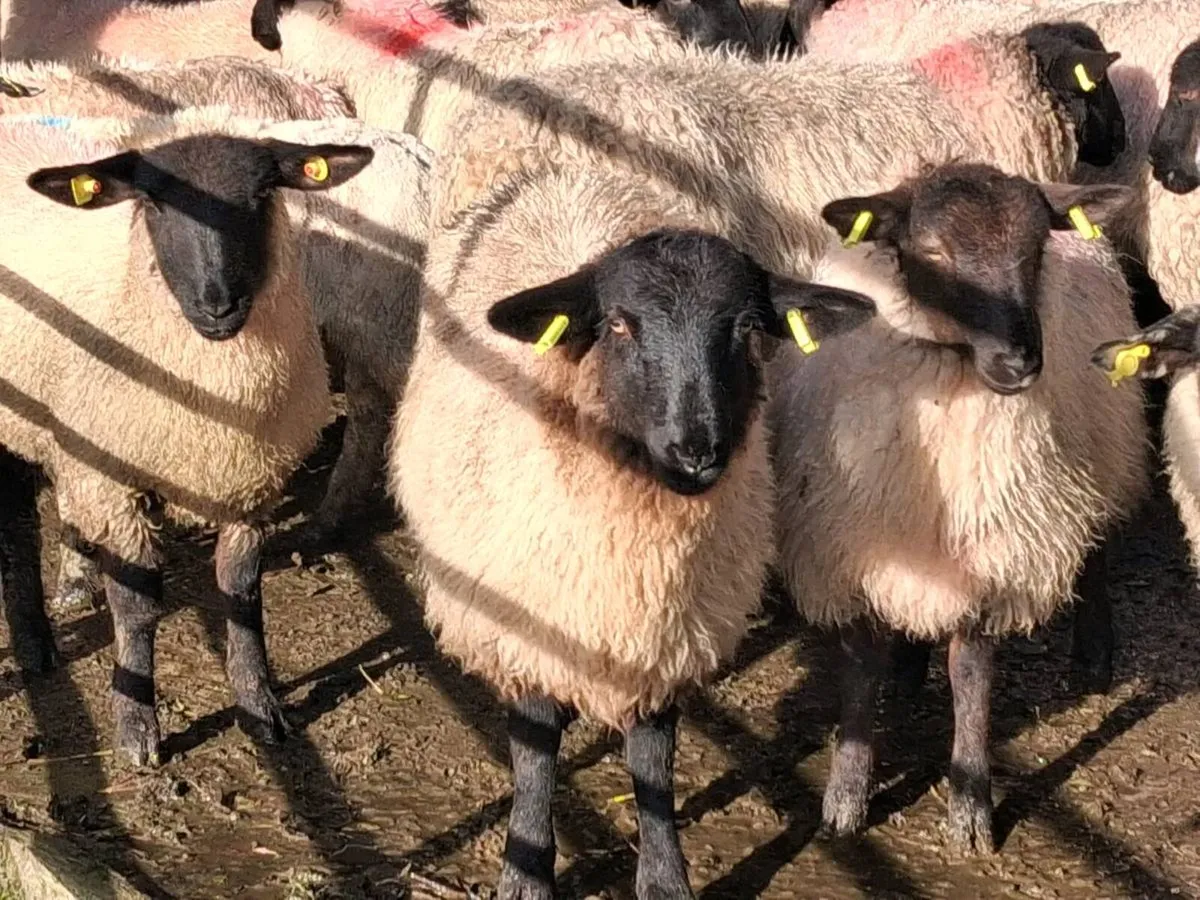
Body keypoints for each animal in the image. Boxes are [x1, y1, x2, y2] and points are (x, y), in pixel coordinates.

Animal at [0, 107, 375, 766]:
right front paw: (136, 729)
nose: (217, 304)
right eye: (153, 204)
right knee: (17, 523)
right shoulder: (116, 481)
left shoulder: (249, 481)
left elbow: (241, 594)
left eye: (260, 196)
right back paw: (35, 645)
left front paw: (259, 707)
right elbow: (137, 605)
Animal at [391, 143, 876, 895]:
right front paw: (526, 869)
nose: (696, 447)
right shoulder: (527, 616)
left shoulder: (665, 632)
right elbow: (536, 748)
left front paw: (664, 876)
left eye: (745, 327)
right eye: (619, 323)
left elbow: (652, 764)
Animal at [770, 162, 1148, 851]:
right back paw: (907, 668)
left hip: (1110, 442)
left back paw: (1094, 655)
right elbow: (860, 671)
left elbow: (971, 674)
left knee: (1099, 546)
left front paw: (971, 805)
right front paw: (846, 798)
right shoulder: (853, 544)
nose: (1019, 363)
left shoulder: (991, 552)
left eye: (1035, 249)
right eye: (933, 253)